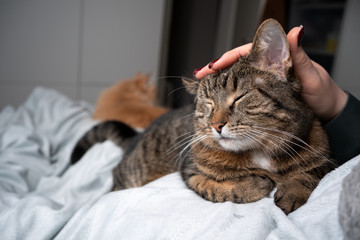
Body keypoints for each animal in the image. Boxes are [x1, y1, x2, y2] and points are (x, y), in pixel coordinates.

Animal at [71, 19, 334, 214]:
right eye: (207, 104)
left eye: (239, 97)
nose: (217, 125)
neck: (260, 153)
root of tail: (136, 138)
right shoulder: (190, 171)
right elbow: (217, 188)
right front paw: (255, 185)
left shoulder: (323, 156)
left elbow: (309, 174)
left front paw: (292, 192)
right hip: (130, 176)